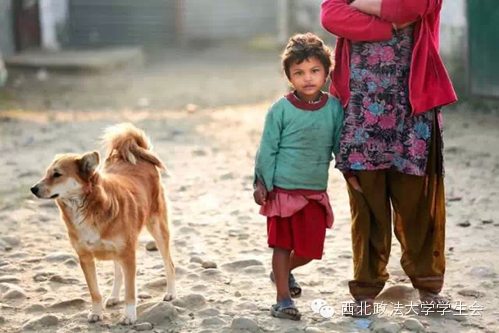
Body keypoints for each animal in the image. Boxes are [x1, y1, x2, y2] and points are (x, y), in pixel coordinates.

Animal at [30, 123, 176, 322]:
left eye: (57, 174)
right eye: (46, 174)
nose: (33, 189)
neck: (86, 208)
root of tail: (138, 156)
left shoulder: (128, 254)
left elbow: (131, 290)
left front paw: (129, 315)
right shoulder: (85, 257)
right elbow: (95, 291)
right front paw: (96, 312)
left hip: (158, 229)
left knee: (169, 264)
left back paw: (171, 293)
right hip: (116, 250)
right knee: (118, 272)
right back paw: (114, 296)